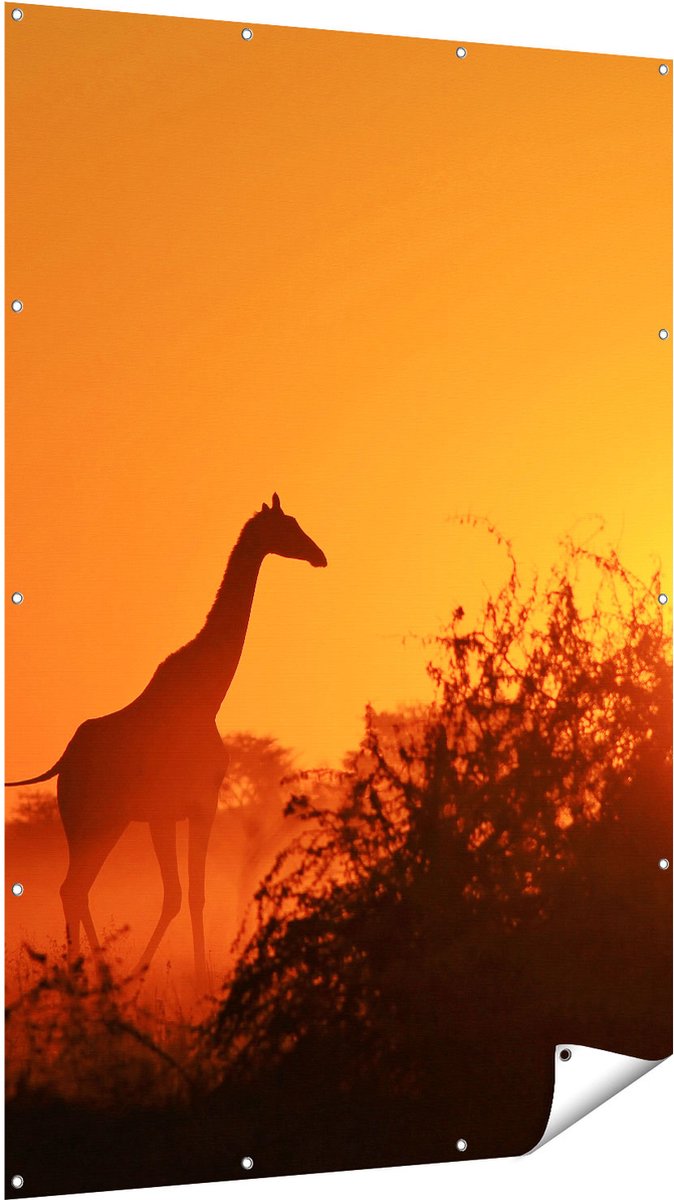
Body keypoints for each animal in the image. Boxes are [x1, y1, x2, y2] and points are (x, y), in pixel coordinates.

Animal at [5, 494, 327, 989]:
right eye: (288, 526)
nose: (319, 555)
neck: (207, 696)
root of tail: (63, 762)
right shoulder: (192, 807)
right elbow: (183, 895)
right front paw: (185, 975)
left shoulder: (177, 811)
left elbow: (186, 894)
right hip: (92, 820)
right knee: (74, 887)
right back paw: (91, 975)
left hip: (101, 822)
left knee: (74, 888)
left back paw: (89, 973)